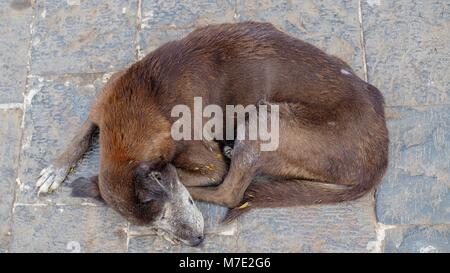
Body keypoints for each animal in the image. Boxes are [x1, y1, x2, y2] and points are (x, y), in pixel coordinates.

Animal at [35, 21, 388, 244]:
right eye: (154, 224)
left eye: (164, 213)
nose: (196, 242)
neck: (144, 103)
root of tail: (380, 156)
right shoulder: (104, 103)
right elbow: (83, 131)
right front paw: (55, 169)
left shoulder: (204, 162)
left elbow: (188, 173)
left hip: (265, 120)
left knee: (230, 192)